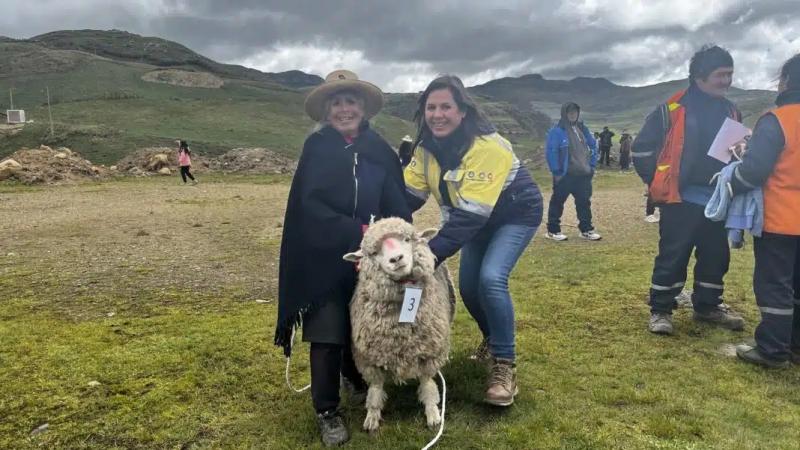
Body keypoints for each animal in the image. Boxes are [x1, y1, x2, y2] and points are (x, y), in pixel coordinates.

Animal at [344, 218, 456, 432]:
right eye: (374, 252)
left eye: (406, 239)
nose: (396, 259)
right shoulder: (369, 360)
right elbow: (375, 389)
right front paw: (372, 416)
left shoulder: (428, 353)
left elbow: (428, 385)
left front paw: (433, 414)